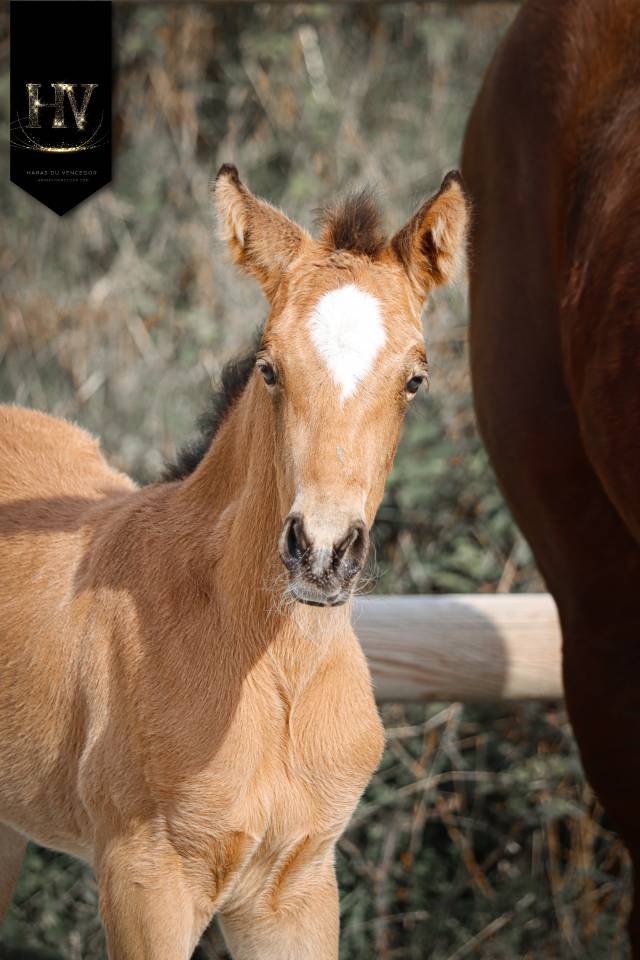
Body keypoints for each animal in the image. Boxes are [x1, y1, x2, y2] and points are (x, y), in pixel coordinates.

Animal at [0, 164, 468, 959]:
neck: (275, 676)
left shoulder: (296, 887)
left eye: (415, 379)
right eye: (269, 368)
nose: (321, 554)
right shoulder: (145, 881)